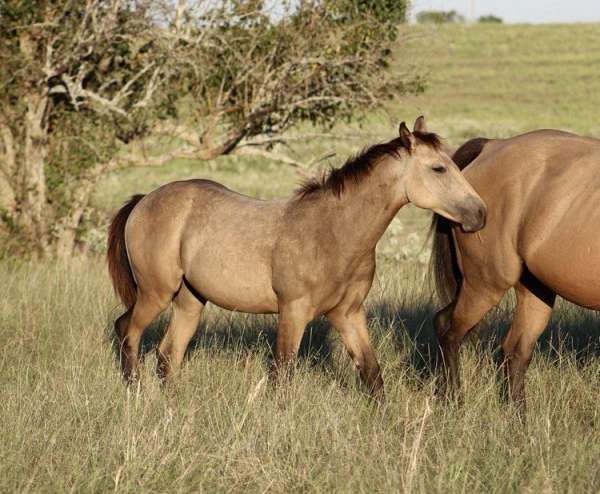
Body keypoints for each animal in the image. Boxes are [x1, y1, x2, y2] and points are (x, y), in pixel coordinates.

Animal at [432, 129, 600, 414]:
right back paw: (455, 401)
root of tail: (492, 146)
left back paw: (519, 419)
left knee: (516, 351)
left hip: (534, 292)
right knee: (449, 330)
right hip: (485, 284)